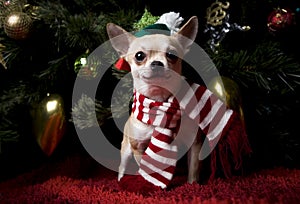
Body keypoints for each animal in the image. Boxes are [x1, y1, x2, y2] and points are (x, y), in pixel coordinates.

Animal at [105, 15, 202, 183]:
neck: (159, 102)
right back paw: (121, 179)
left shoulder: (194, 143)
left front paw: (192, 185)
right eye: (139, 56)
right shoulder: (138, 147)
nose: (157, 63)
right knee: (122, 166)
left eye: (172, 55)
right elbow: (147, 167)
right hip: (126, 149)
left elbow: (193, 171)